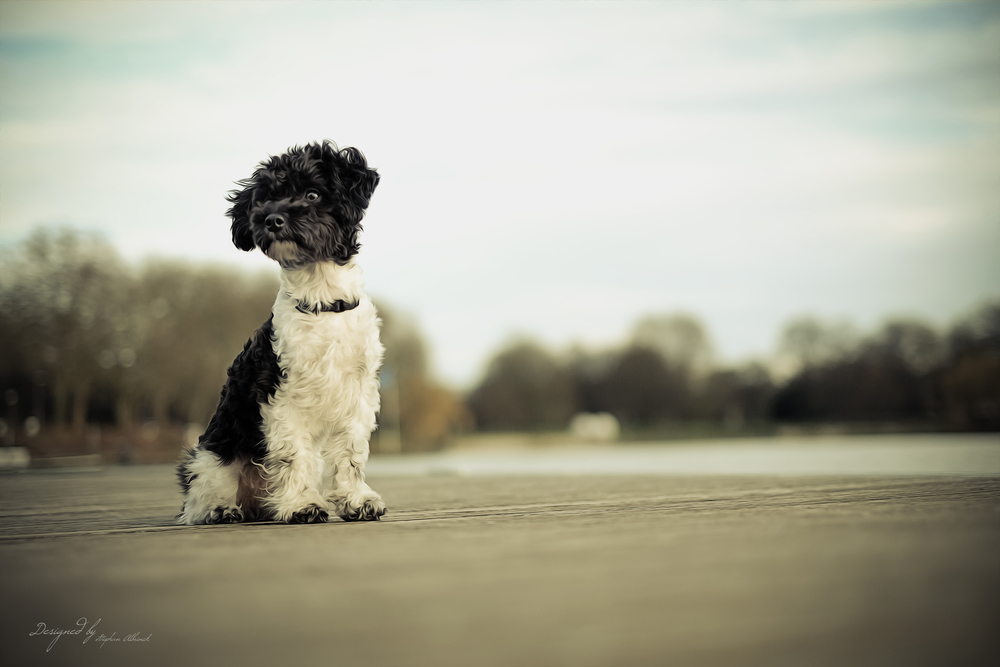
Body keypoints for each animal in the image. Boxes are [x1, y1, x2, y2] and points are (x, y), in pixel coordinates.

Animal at [178, 142, 384, 528]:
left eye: (313, 194)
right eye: (265, 200)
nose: (271, 219)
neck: (322, 304)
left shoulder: (358, 395)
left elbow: (350, 454)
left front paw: (357, 500)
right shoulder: (280, 397)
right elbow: (294, 456)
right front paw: (303, 505)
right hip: (210, 454)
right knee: (198, 496)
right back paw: (219, 509)